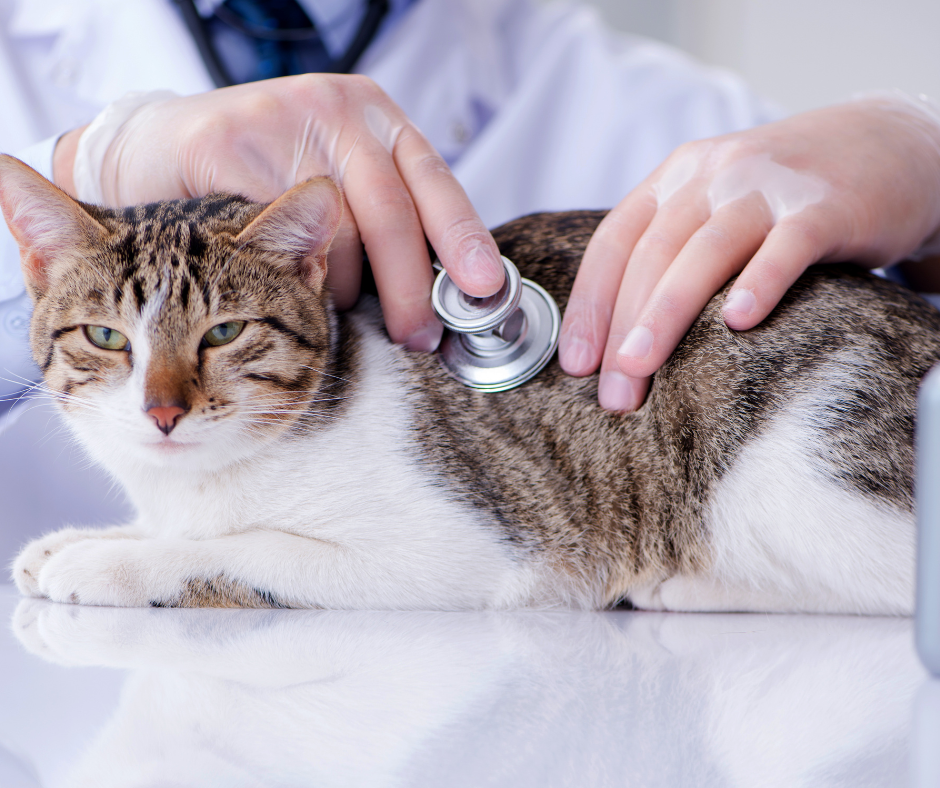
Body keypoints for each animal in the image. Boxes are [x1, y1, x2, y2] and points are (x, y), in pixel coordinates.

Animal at [3, 151, 936, 612]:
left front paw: (114, 561)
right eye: (106, 338)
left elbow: (244, 548)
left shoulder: (465, 551)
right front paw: (90, 536)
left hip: (792, 476)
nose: (162, 412)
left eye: (224, 333)